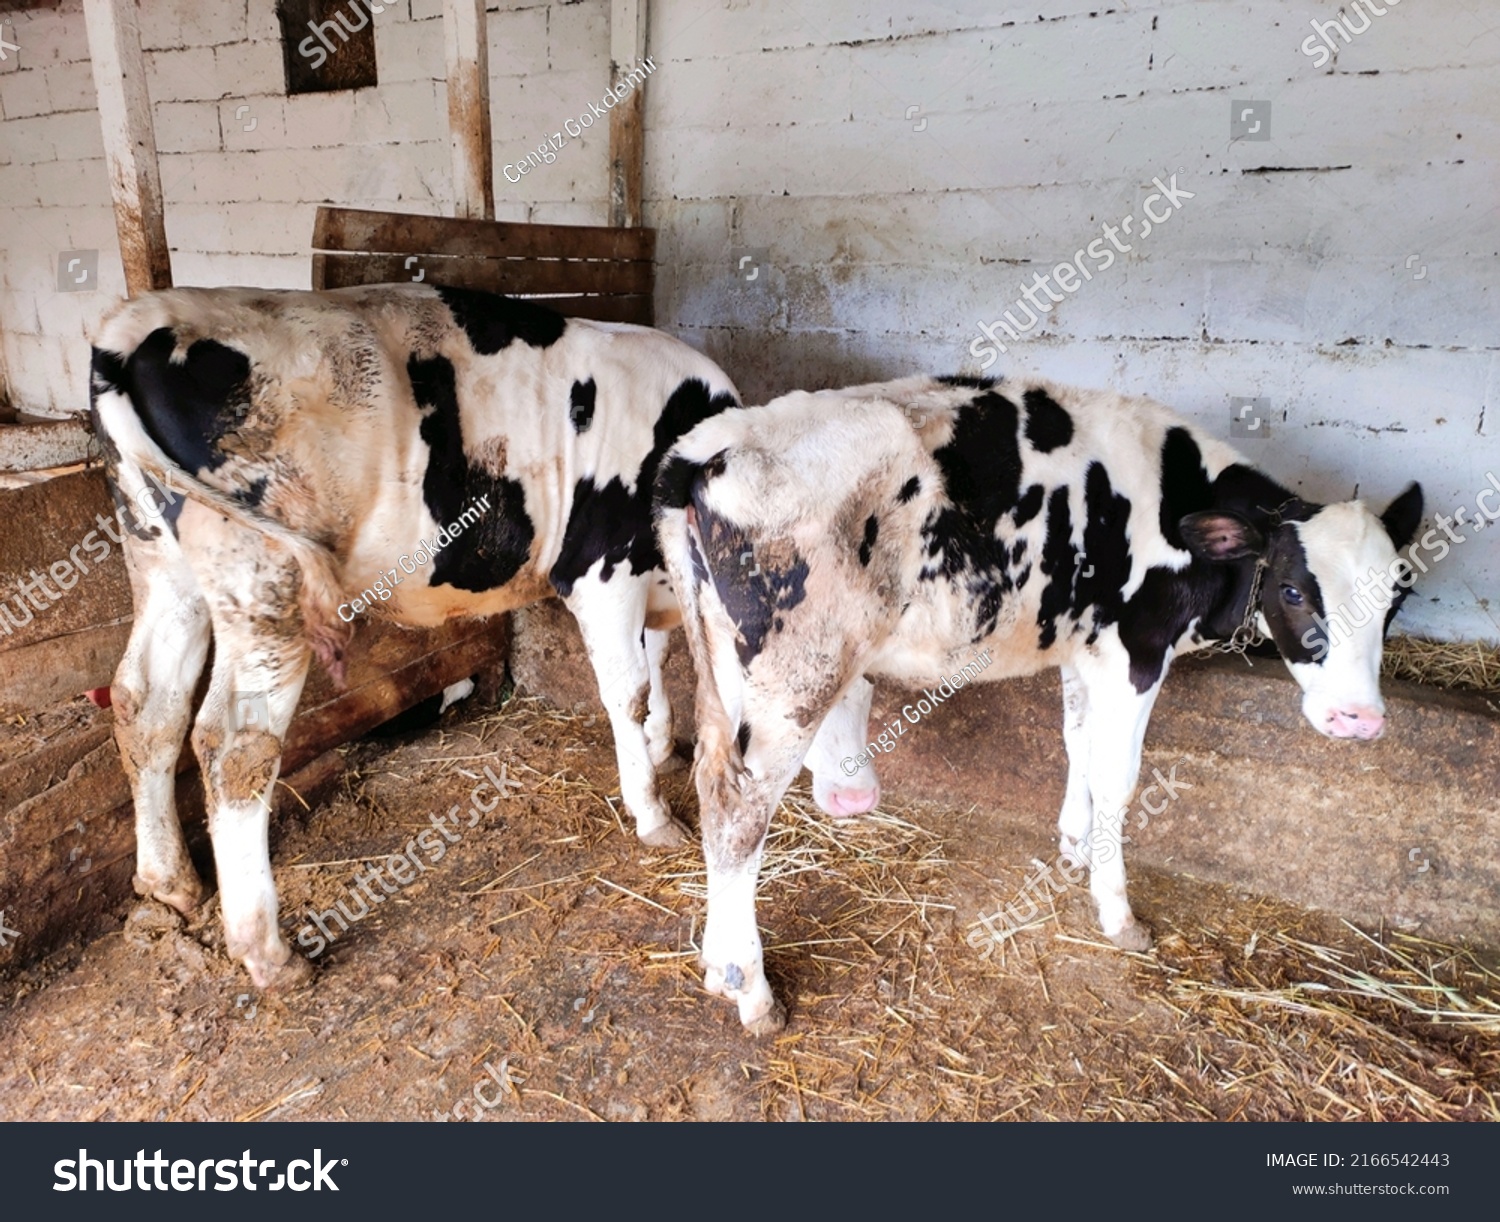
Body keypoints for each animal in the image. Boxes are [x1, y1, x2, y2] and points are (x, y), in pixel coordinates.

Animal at [87, 289, 876, 995]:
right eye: (823, 697)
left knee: (145, 704)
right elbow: (626, 689)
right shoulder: (600, 569)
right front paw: (651, 811)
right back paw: (267, 952)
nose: (859, 796)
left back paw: (168, 884)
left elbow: (657, 666)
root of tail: (136, 323)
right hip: (262, 584)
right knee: (234, 745)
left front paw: (658, 749)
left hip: (161, 561)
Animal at [657, 373, 1416, 1031]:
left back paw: (714, 965)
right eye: (1293, 589)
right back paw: (751, 989)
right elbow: (1118, 776)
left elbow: (1078, 742)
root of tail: (713, 442)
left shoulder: (1087, 648)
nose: (1359, 718)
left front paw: (1076, 846)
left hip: (724, 668)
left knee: (710, 773)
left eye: (1398, 595)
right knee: (737, 811)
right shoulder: (1137, 651)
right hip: (797, 675)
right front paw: (1118, 911)